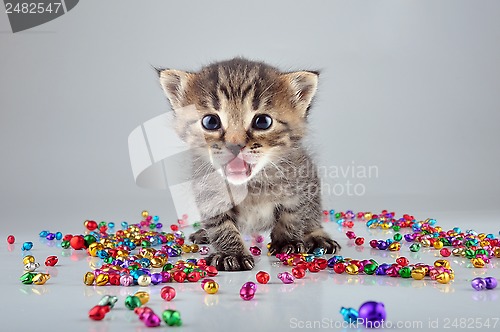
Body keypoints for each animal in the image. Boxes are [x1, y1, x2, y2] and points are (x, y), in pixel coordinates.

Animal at [158, 57, 342, 270]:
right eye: (210, 121)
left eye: (262, 121)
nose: (235, 145)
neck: (251, 186)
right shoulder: (208, 193)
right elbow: (220, 225)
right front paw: (232, 253)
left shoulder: (301, 178)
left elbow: (294, 213)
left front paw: (287, 241)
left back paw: (317, 235)